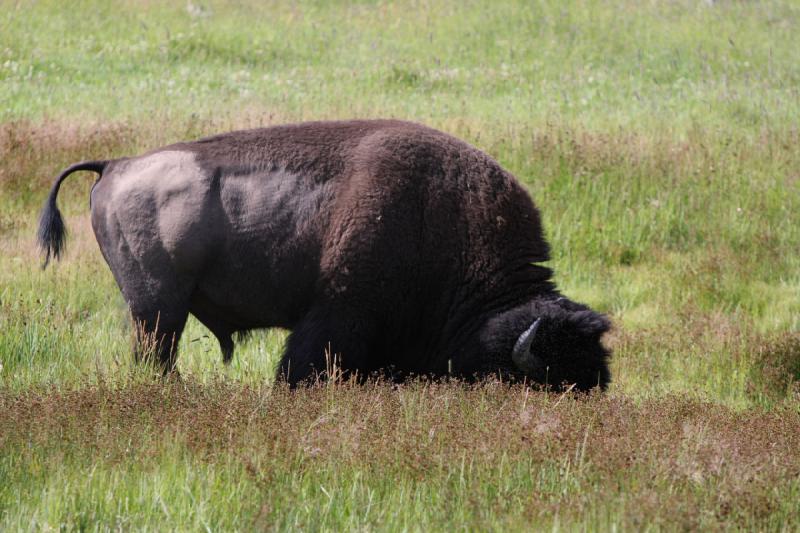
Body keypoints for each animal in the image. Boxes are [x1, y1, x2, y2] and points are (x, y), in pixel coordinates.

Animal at [37, 119, 608, 386]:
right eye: (540, 381)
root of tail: (116, 164)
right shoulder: (338, 315)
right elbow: (301, 368)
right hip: (157, 309)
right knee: (157, 355)